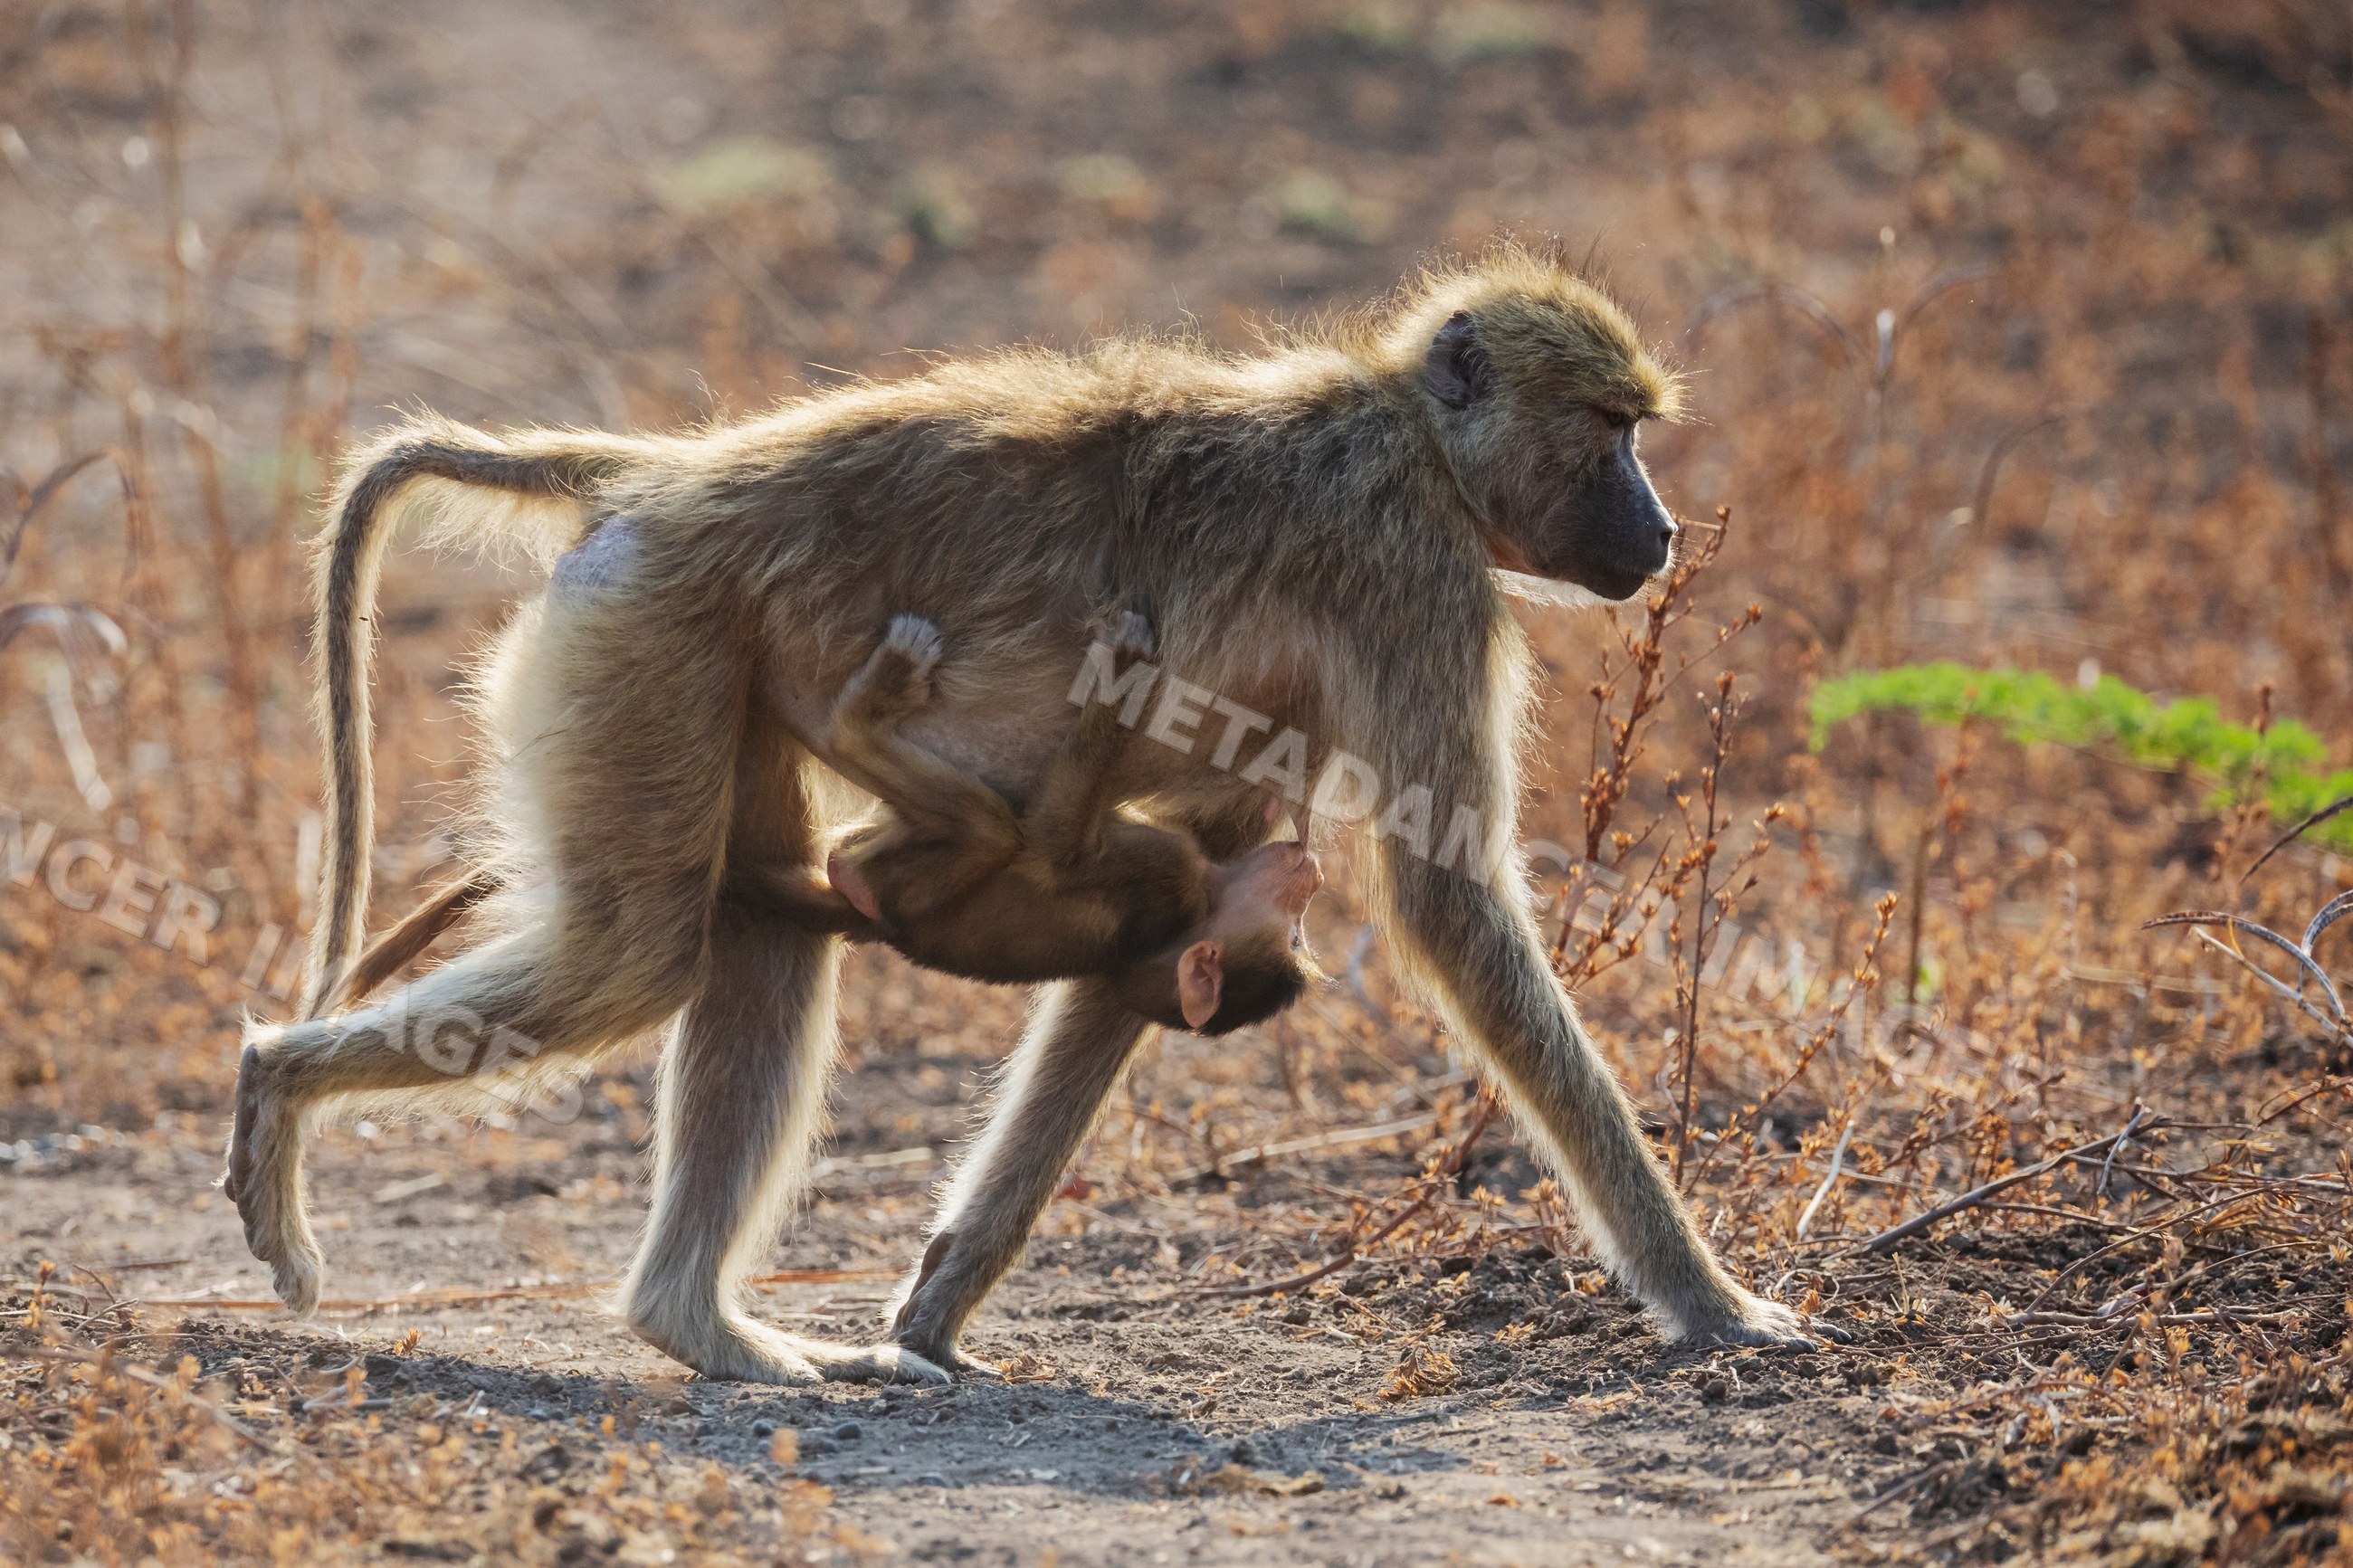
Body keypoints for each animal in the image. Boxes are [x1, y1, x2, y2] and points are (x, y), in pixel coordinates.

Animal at [225, 244, 1831, 1388]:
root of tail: (663, 475)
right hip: (650, 634)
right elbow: (1449, 903)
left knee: (751, 932)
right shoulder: (1419, 579)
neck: (1408, 435)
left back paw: (703, 1329)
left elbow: (1176, 911)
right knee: (641, 955)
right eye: (1610, 429)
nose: (1662, 532)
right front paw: (1714, 1304)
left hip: (694, 654)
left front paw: (934, 1310)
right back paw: (279, 1087)